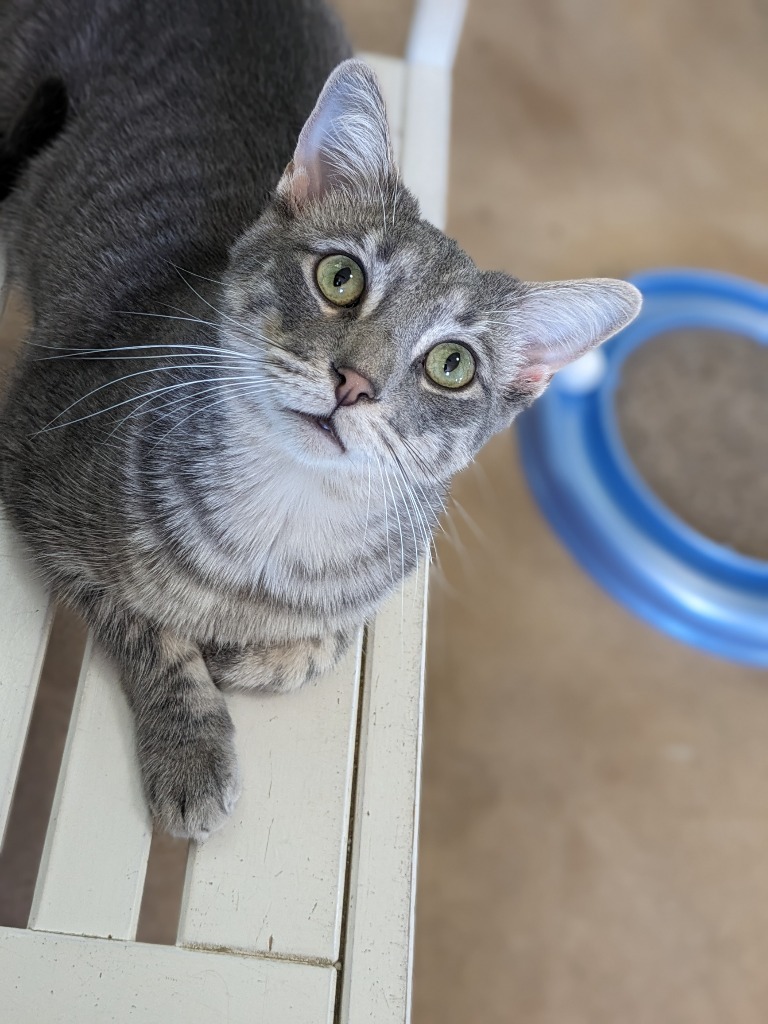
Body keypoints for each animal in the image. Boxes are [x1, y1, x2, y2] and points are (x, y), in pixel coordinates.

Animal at [0, 0, 638, 839]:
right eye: (341, 277)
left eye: (453, 364)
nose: (355, 383)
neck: (283, 525)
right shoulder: (35, 464)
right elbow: (145, 624)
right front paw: (190, 747)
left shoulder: (375, 593)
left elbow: (328, 642)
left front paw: (252, 657)